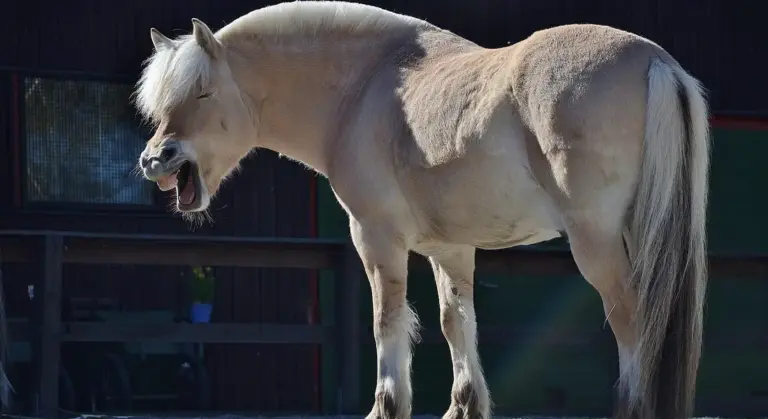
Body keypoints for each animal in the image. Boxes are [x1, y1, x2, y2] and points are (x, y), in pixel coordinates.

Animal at [135, 2, 710, 418]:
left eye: (203, 92)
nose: (155, 159)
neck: (363, 89)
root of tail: (656, 62)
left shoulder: (376, 238)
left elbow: (388, 320)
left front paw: (387, 407)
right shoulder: (449, 249)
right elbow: (456, 322)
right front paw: (464, 407)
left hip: (598, 244)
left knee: (633, 322)